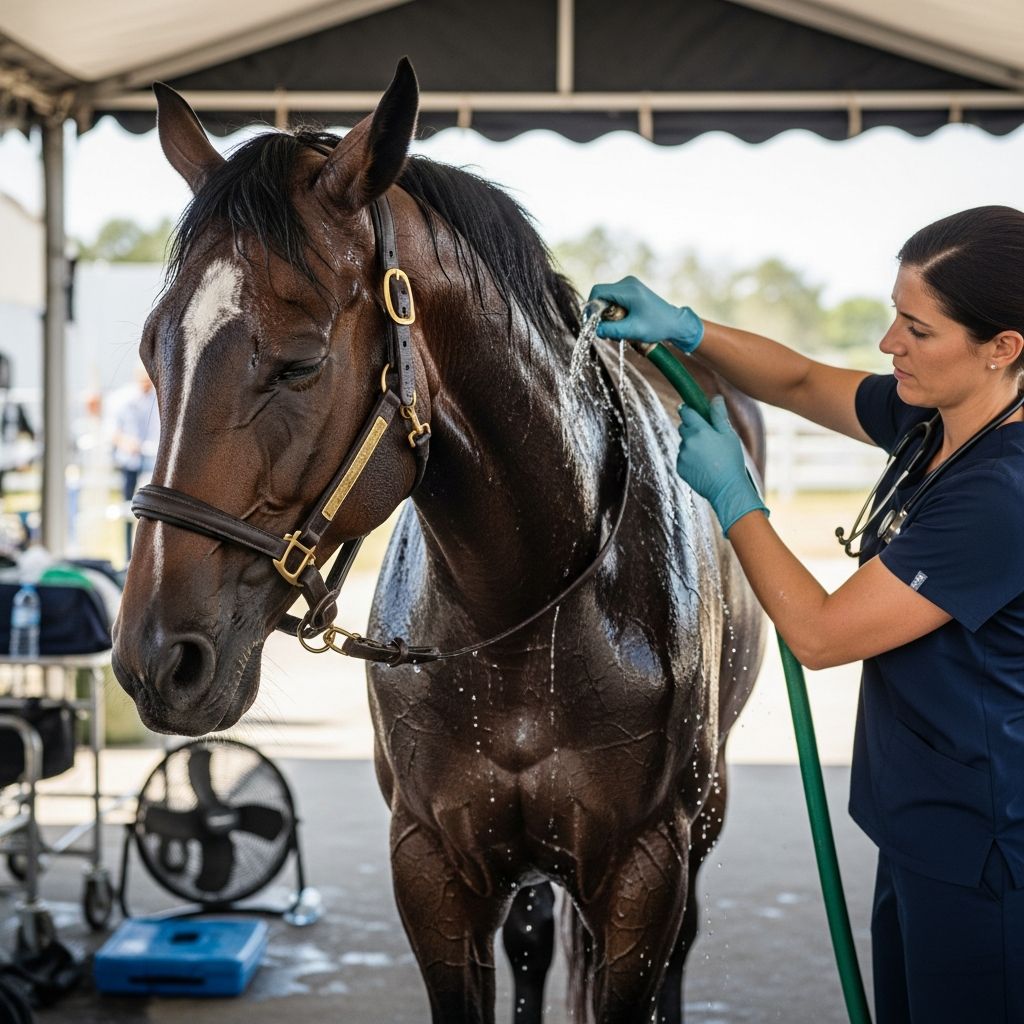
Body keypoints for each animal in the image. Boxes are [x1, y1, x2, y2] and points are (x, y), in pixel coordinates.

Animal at [112, 59, 767, 1023]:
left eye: (301, 362)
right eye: (154, 352)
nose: (157, 659)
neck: (529, 614)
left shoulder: (647, 871)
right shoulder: (432, 868)